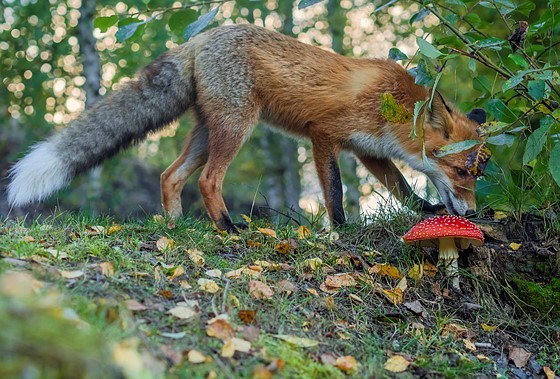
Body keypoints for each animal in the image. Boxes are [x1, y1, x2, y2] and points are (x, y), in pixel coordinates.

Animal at [5, 24, 486, 232]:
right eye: (462, 172)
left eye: (477, 174)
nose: (473, 214)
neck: (394, 106)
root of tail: (200, 37)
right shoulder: (324, 134)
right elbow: (335, 191)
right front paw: (340, 229)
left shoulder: (368, 150)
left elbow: (402, 187)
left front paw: (427, 210)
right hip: (236, 128)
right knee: (207, 179)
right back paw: (227, 226)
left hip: (208, 131)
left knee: (170, 176)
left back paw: (176, 226)